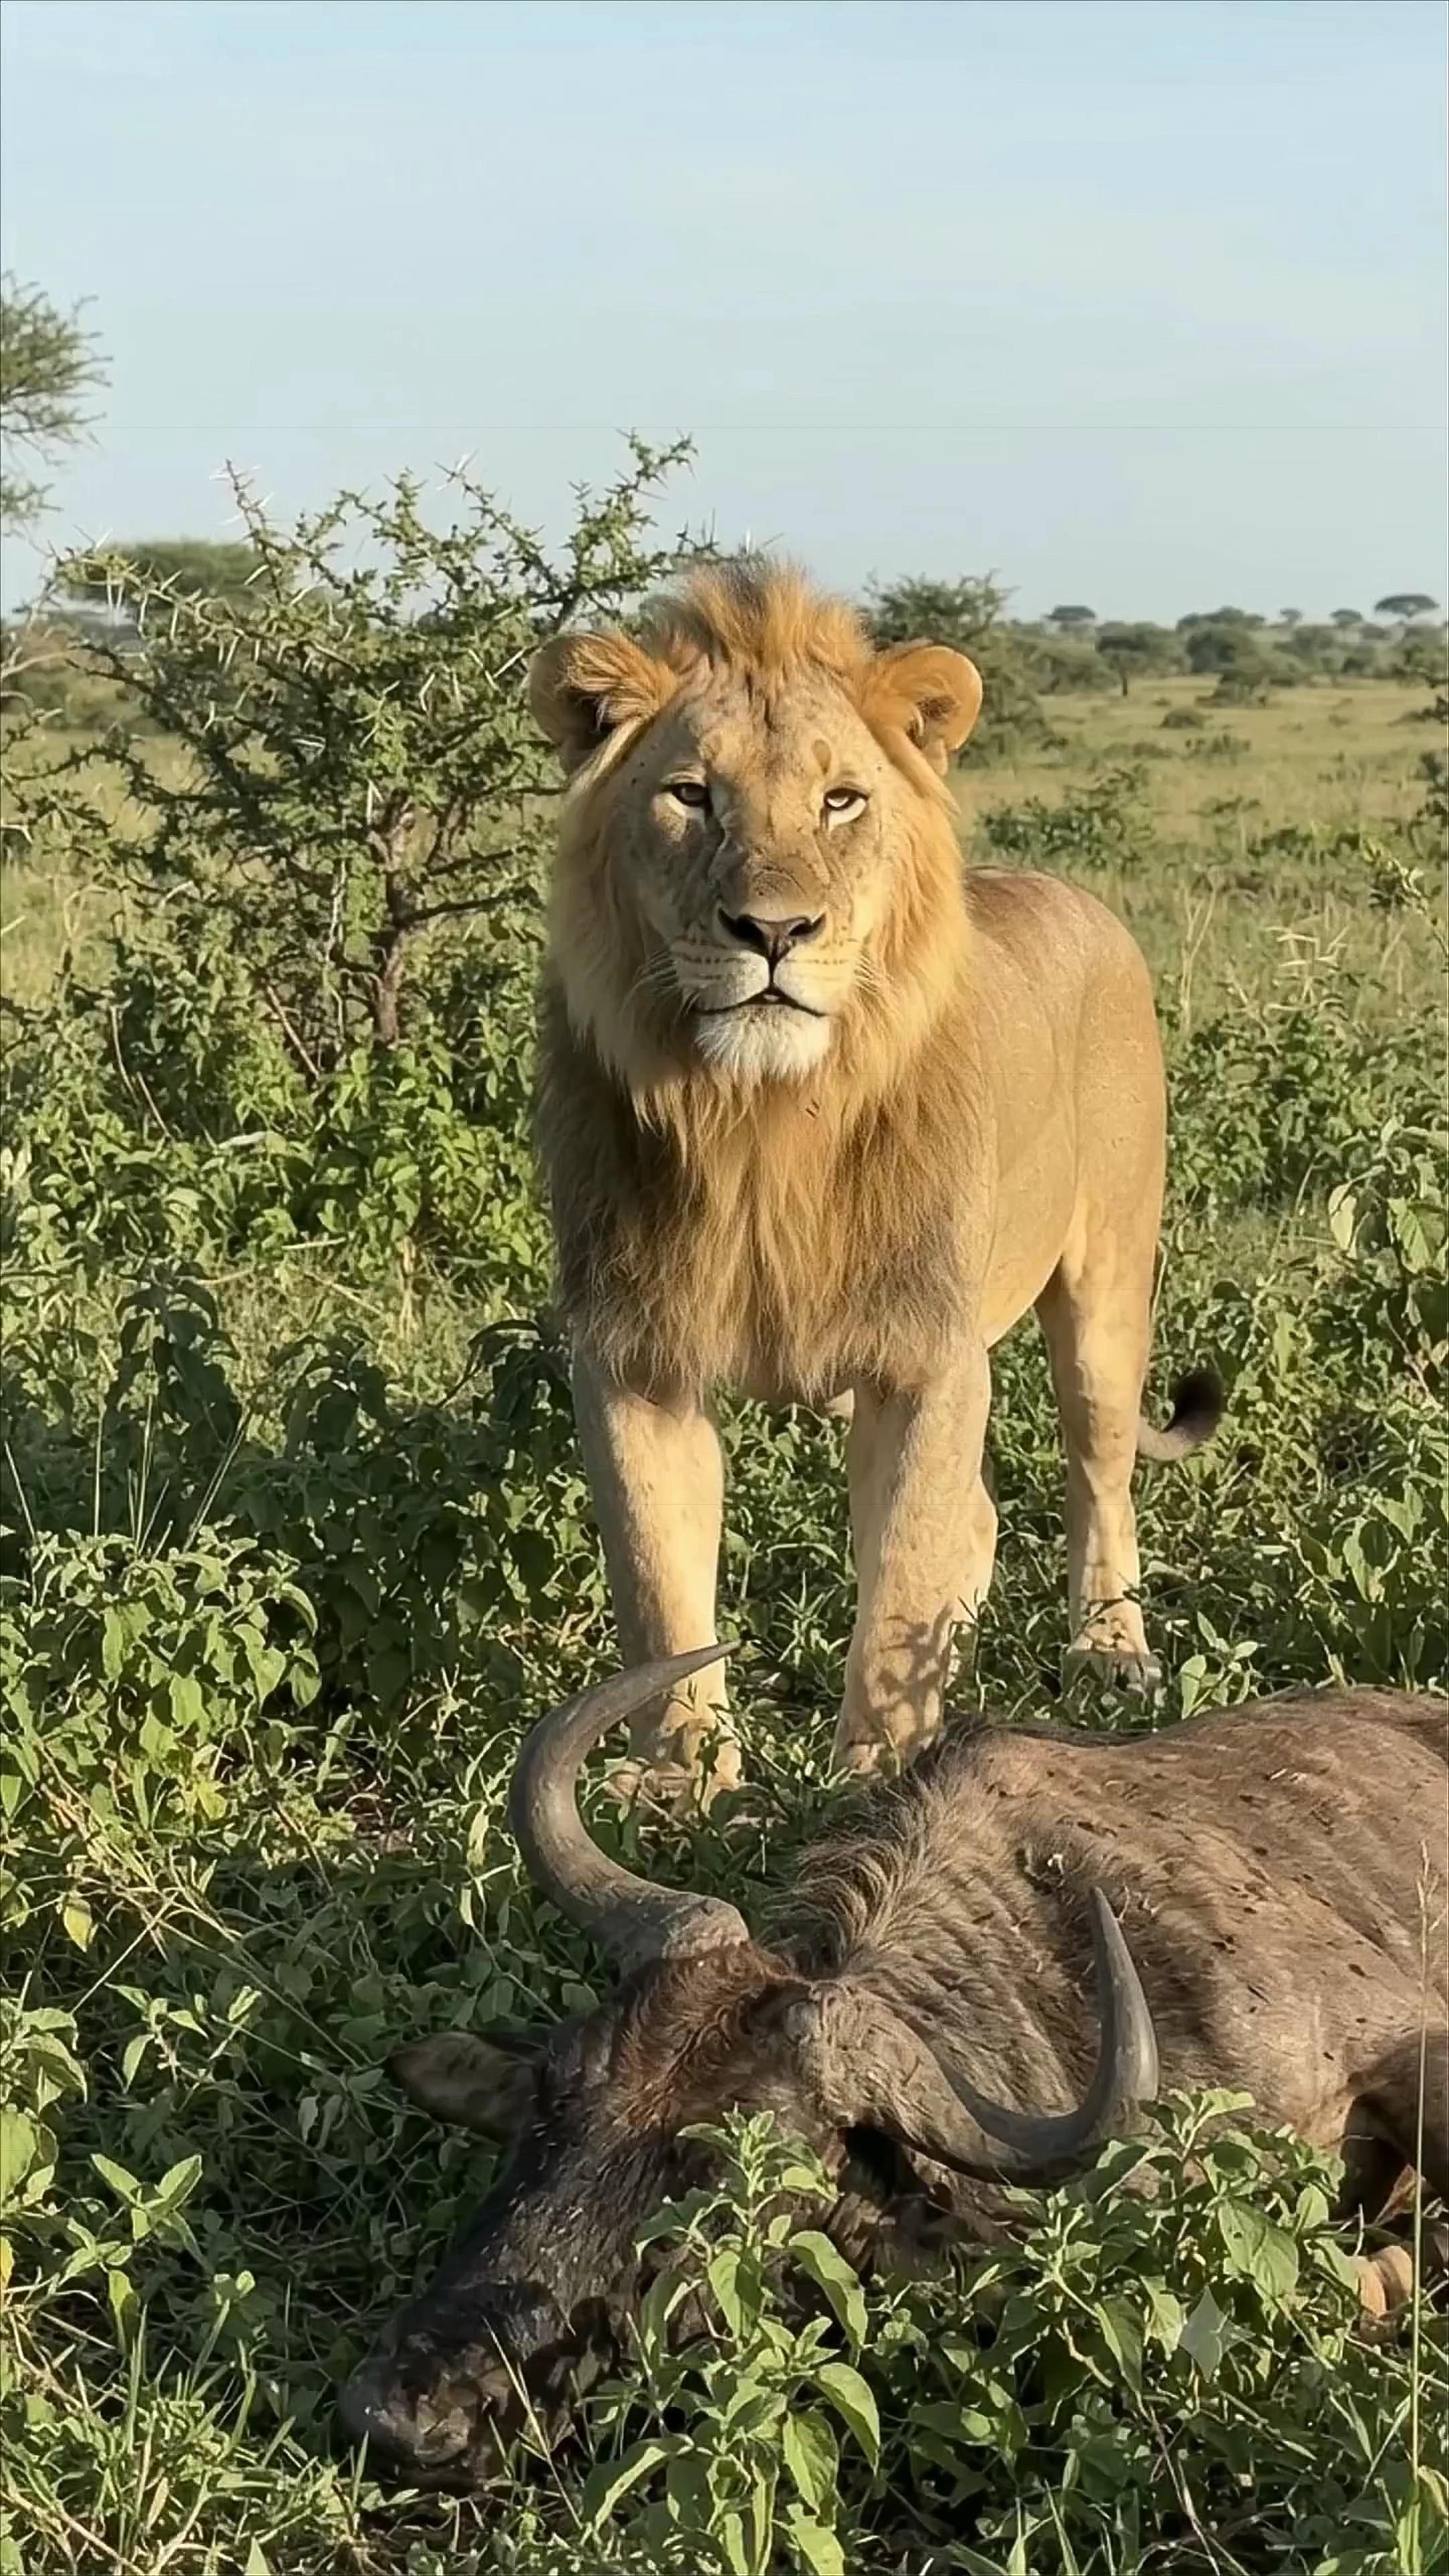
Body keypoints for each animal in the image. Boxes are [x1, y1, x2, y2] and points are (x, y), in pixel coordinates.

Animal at [528, 559, 1221, 1797]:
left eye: (842, 801)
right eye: (691, 796)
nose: (773, 931)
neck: (761, 1122)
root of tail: (1080, 896)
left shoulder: (925, 1354)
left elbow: (899, 1575)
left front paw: (882, 1776)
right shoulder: (633, 1353)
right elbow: (658, 1582)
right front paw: (684, 1785)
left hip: (1107, 1292)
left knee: (1098, 1473)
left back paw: (1111, 1653)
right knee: (979, 1516)